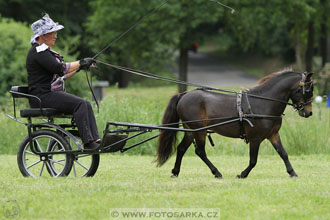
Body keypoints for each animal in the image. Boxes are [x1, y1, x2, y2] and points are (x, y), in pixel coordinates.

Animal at [156, 70, 314, 179]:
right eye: (307, 90)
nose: (309, 112)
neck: (263, 103)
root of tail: (183, 95)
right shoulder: (255, 138)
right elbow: (253, 160)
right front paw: (242, 174)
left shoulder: (273, 135)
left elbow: (283, 154)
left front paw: (292, 173)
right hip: (199, 131)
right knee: (200, 151)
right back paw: (216, 172)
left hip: (191, 130)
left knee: (181, 148)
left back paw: (175, 172)